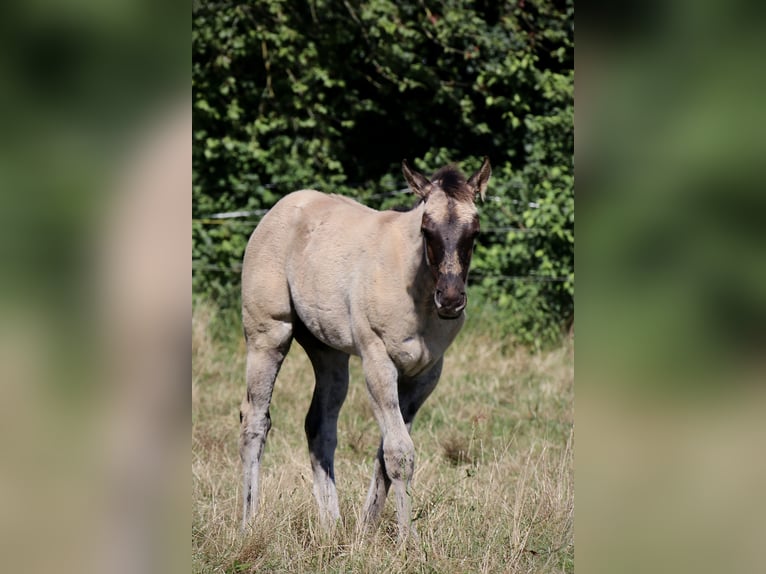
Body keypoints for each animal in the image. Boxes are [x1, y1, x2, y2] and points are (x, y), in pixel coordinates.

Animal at [238, 156, 492, 540]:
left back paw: (332, 525)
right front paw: (407, 541)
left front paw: (364, 531)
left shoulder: (425, 374)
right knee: (255, 421)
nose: (450, 300)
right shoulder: (378, 362)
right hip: (268, 334)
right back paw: (248, 523)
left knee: (319, 426)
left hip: (328, 352)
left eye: (474, 231)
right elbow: (399, 452)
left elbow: (387, 452)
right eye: (426, 229)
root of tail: (281, 207)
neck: (415, 289)